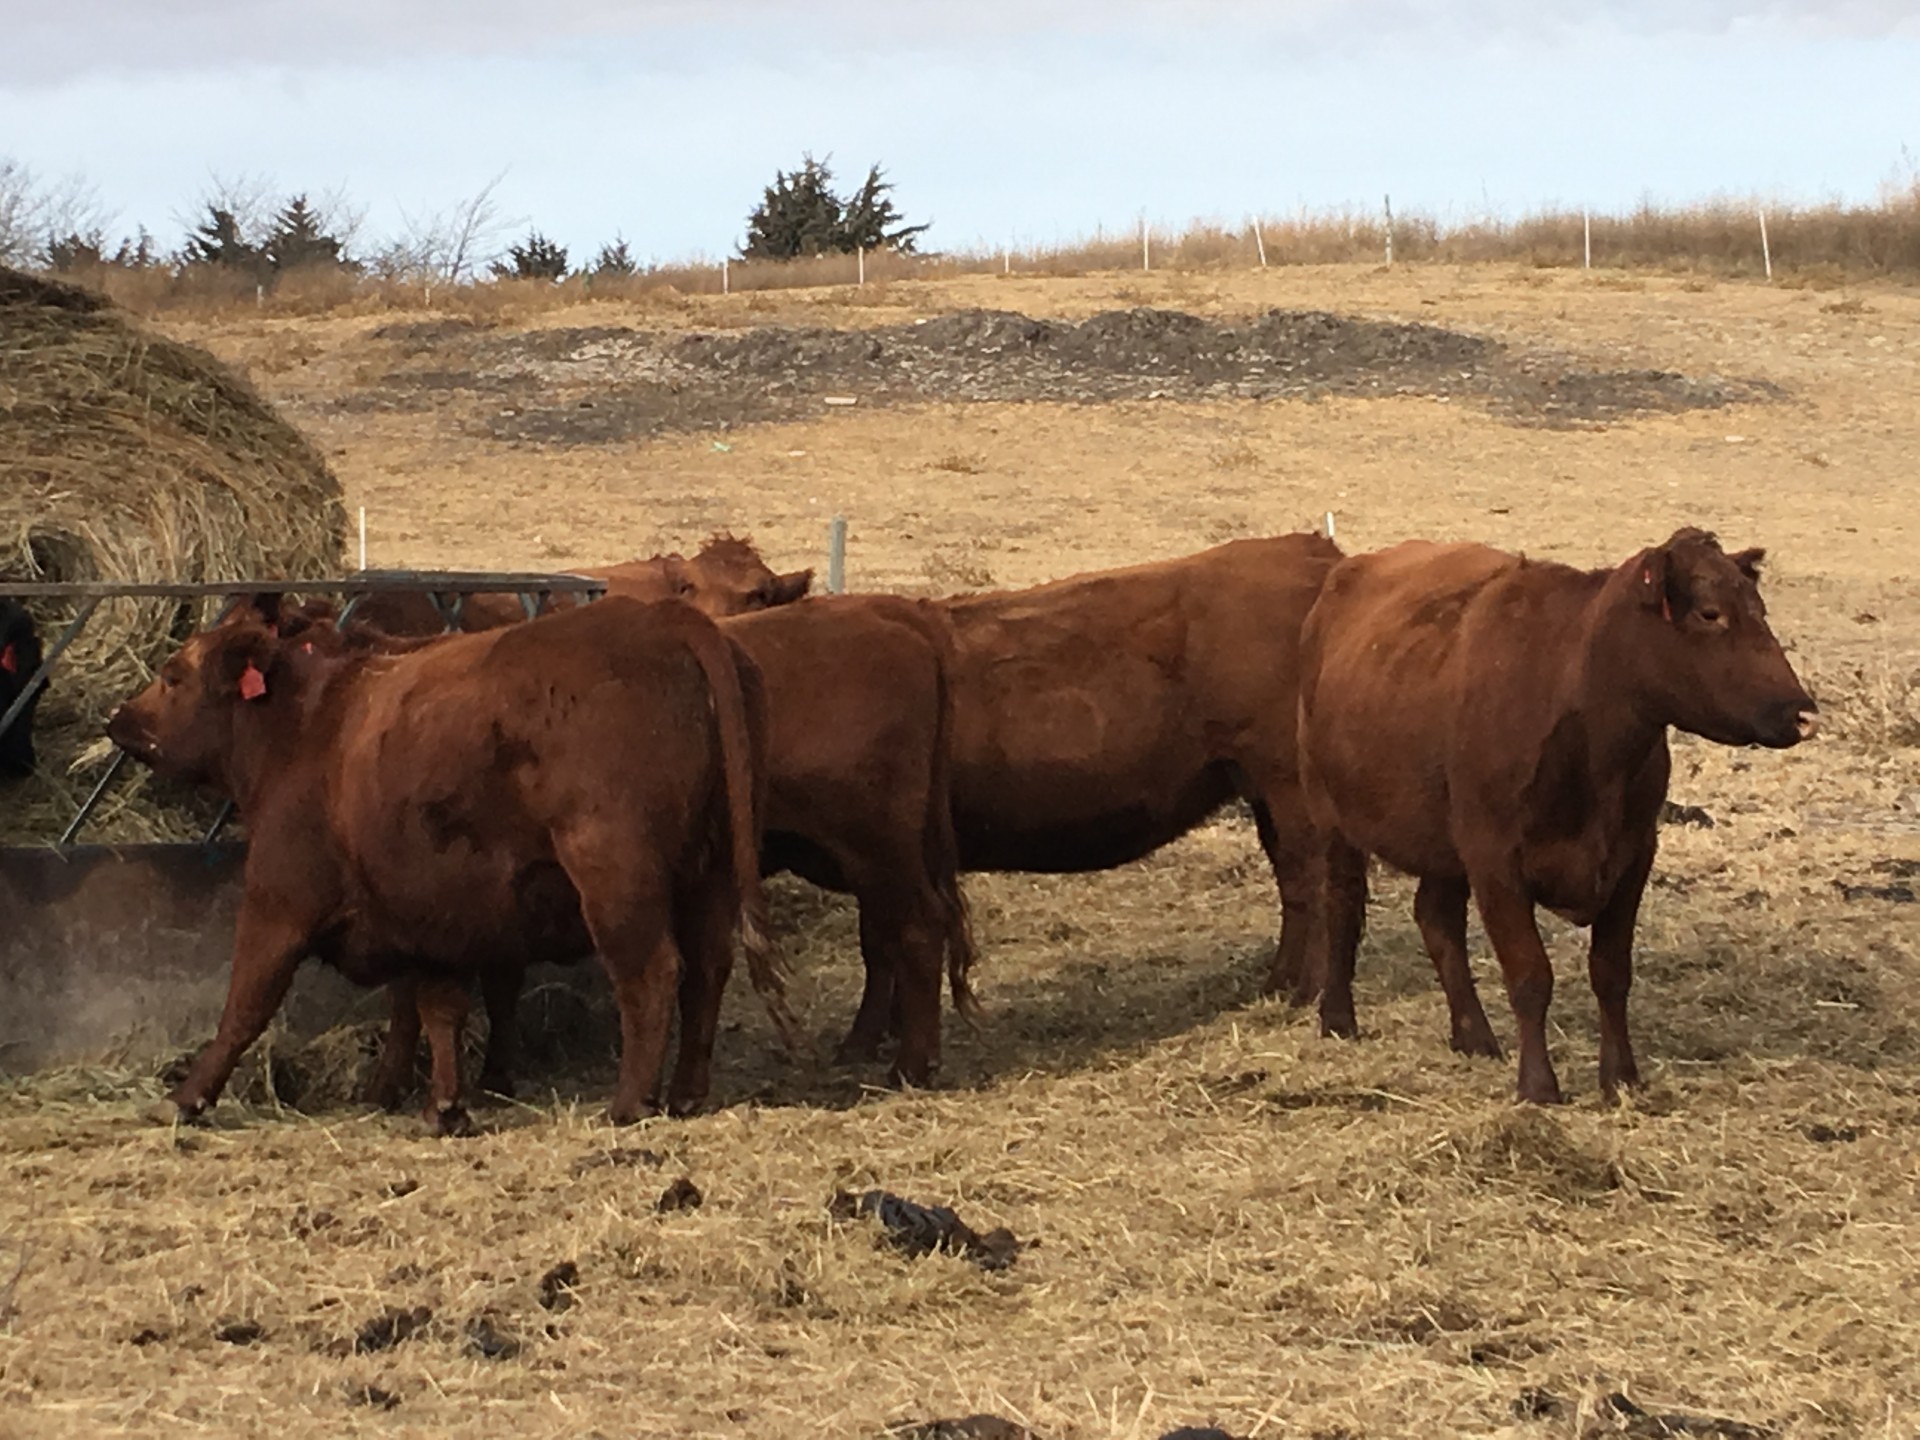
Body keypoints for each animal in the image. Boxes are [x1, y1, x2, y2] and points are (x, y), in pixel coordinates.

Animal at [107, 595, 787, 1128]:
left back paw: (628, 1103)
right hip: (710, 875)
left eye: (173, 674)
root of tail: (665, 619)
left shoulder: (279, 902)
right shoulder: (426, 917)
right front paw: (435, 1099)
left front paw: (186, 1098)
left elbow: (245, 1005)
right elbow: (433, 1005)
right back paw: (685, 1095)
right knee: (706, 971)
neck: (310, 723)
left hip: (617, 876)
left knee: (651, 974)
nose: (119, 721)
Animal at [345, 591, 975, 1098]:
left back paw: (908, 1065)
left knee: (916, 929)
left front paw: (389, 1083)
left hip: (876, 851)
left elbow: (411, 994)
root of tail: (897, 618)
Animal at [1297, 529, 1820, 1105]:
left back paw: (1473, 1035)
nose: (1803, 713)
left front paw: (1621, 1077)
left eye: (1759, 610)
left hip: (1443, 842)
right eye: (1710, 614)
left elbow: (1611, 972)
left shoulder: (1633, 855)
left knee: (1437, 920)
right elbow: (1530, 975)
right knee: (1343, 905)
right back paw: (1338, 1018)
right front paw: (1538, 1086)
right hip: (1333, 815)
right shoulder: (1495, 859)